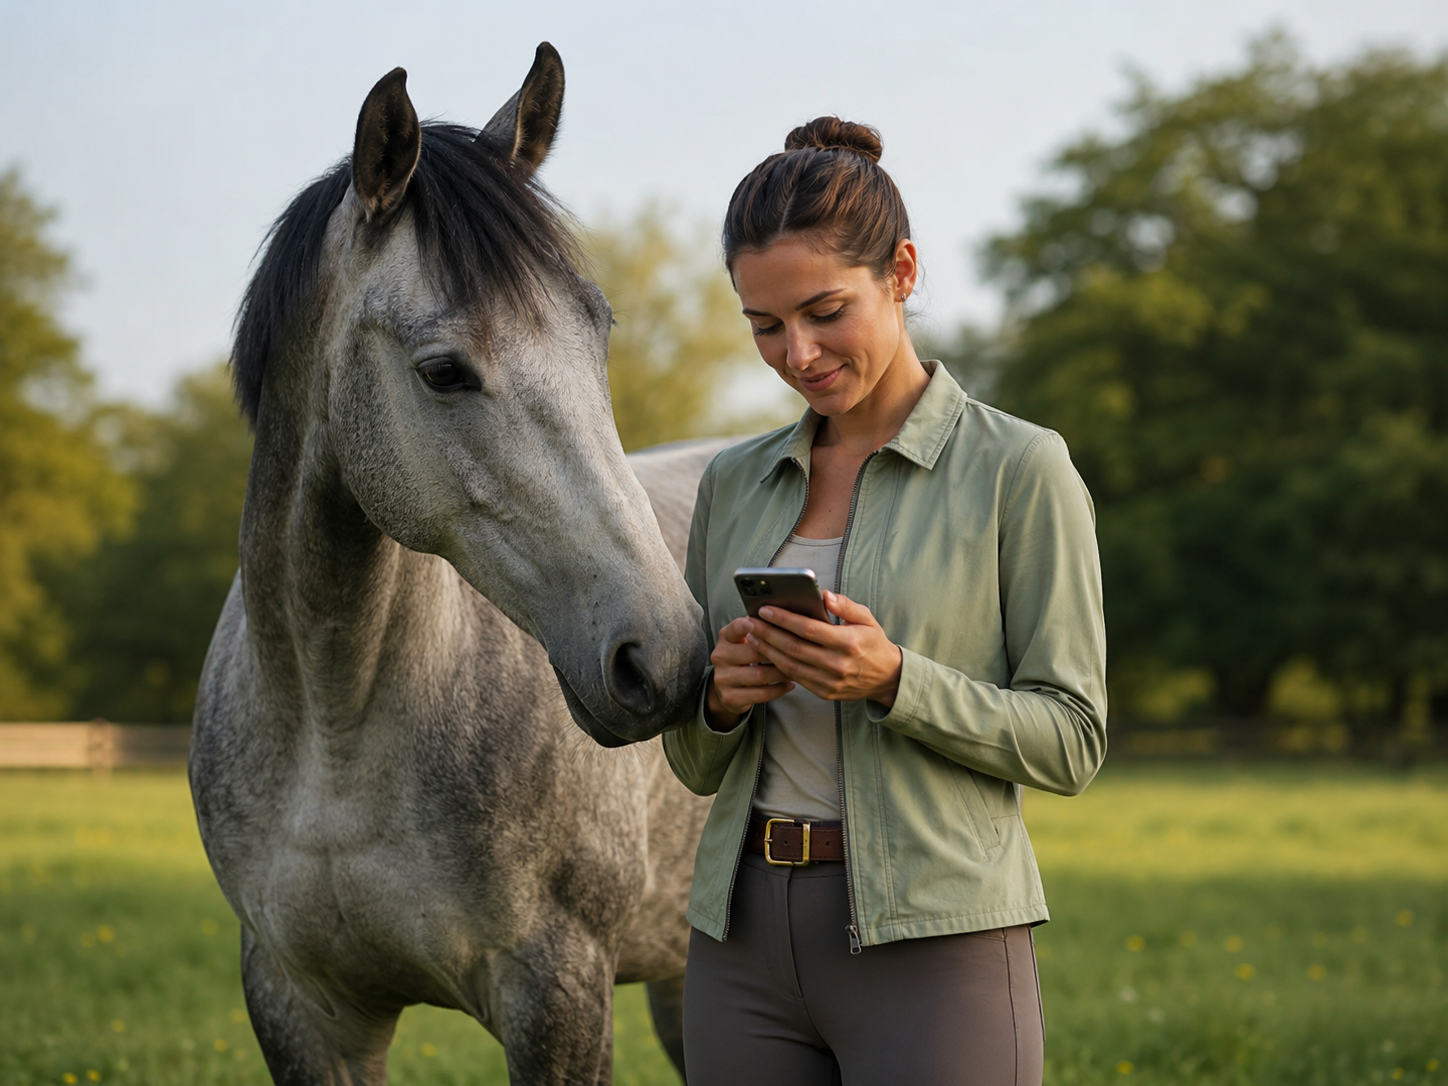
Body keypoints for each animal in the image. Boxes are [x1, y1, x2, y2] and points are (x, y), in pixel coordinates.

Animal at [189, 45, 722, 1085]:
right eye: (443, 372)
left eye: (596, 333)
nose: (669, 657)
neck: (337, 725)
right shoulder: (298, 1005)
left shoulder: (560, 997)